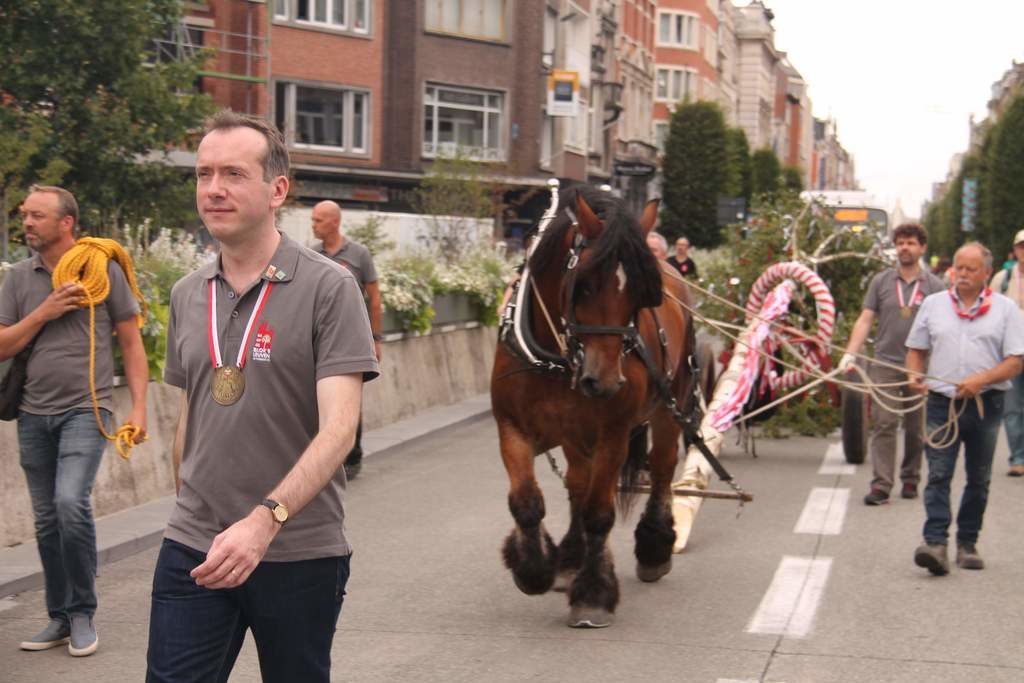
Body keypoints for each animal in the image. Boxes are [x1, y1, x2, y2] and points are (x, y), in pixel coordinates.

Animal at [487, 184, 696, 626]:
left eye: (640, 294)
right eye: (583, 284)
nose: (605, 382)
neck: (558, 359)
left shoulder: (613, 434)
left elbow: (599, 512)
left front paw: (594, 593)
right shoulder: (512, 426)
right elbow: (526, 502)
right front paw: (533, 568)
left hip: (670, 404)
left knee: (663, 467)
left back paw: (654, 548)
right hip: (574, 434)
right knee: (577, 484)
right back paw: (569, 558)